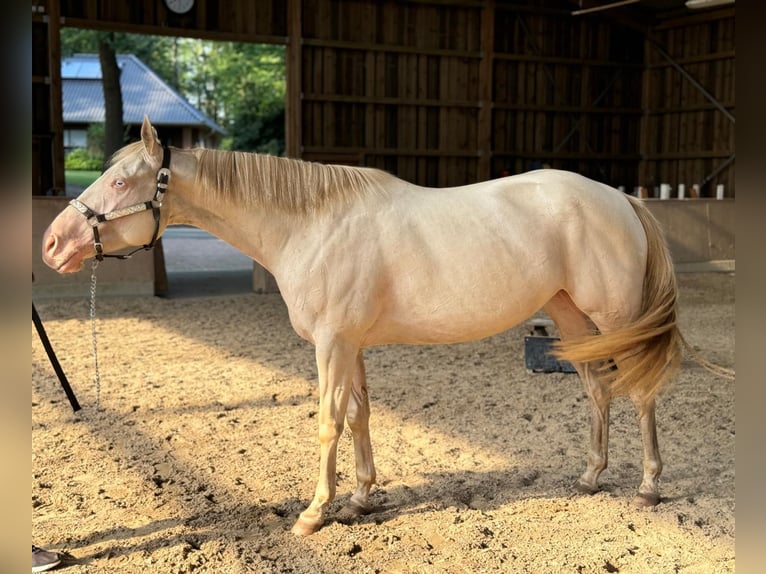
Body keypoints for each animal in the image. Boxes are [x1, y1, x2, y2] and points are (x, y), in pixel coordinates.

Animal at [43, 117, 688, 540]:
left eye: (120, 182)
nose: (53, 244)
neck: (311, 225)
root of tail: (622, 199)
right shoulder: (349, 344)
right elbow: (358, 415)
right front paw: (358, 499)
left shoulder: (332, 344)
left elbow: (328, 422)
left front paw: (314, 513)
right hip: (572, 317)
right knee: (598, 389)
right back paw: (591, 477)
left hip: (616, 318)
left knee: (640, 392)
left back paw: (649, 486)